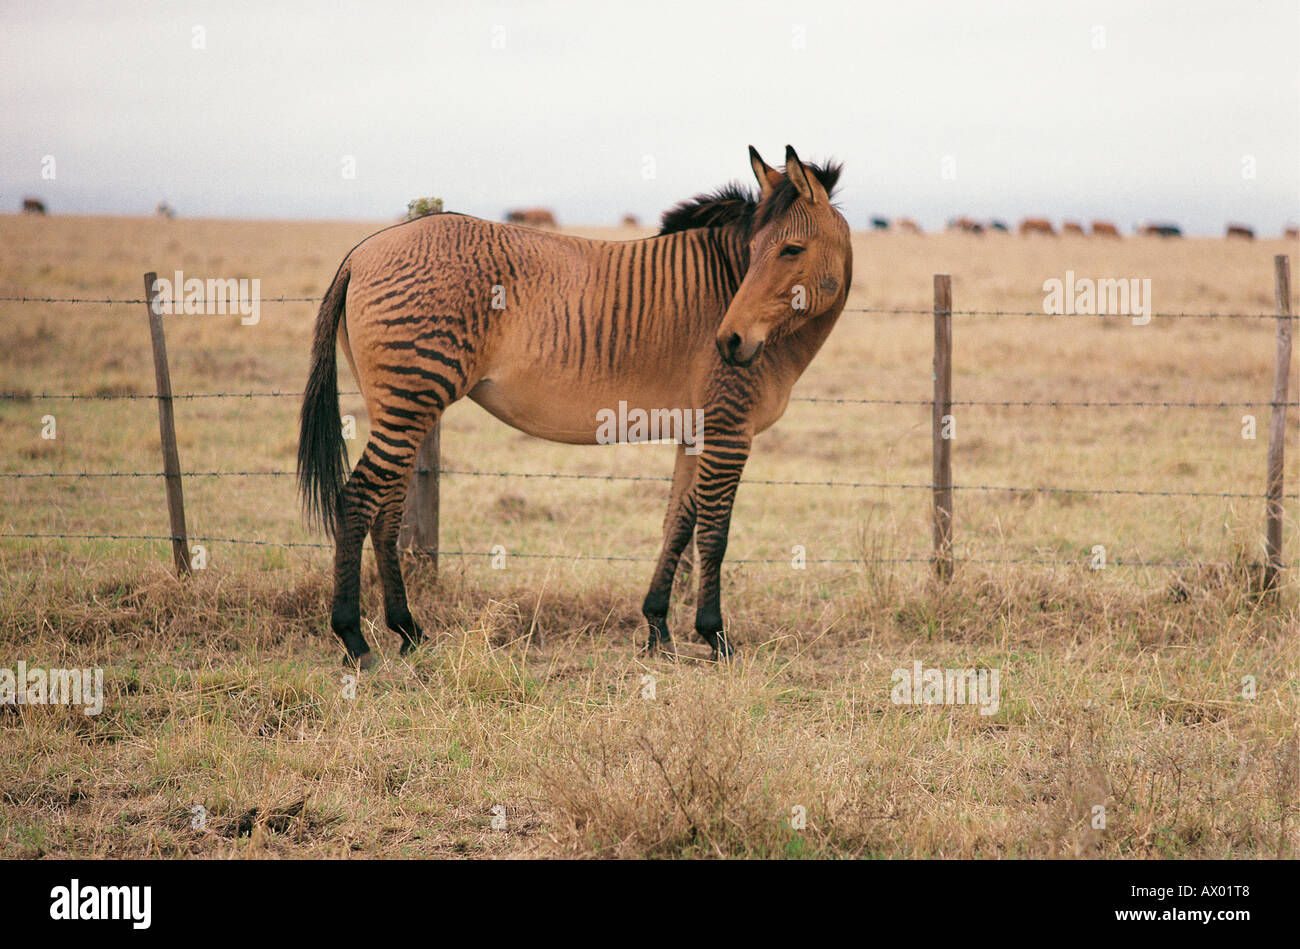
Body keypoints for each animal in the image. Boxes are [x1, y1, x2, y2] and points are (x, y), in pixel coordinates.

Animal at [298, 146, 853, 667]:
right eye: (754, 250)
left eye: (790, 249)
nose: (729, 343)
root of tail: (363, 252)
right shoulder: (728, 429)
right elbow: (714, 534)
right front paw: (715, 637)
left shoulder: (695, 431)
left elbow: (678, 526)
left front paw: (657, 629)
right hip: (412, 397)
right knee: (356, 501)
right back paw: (354, 638)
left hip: (401, 405)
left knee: (388, 508)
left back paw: (408, 631)